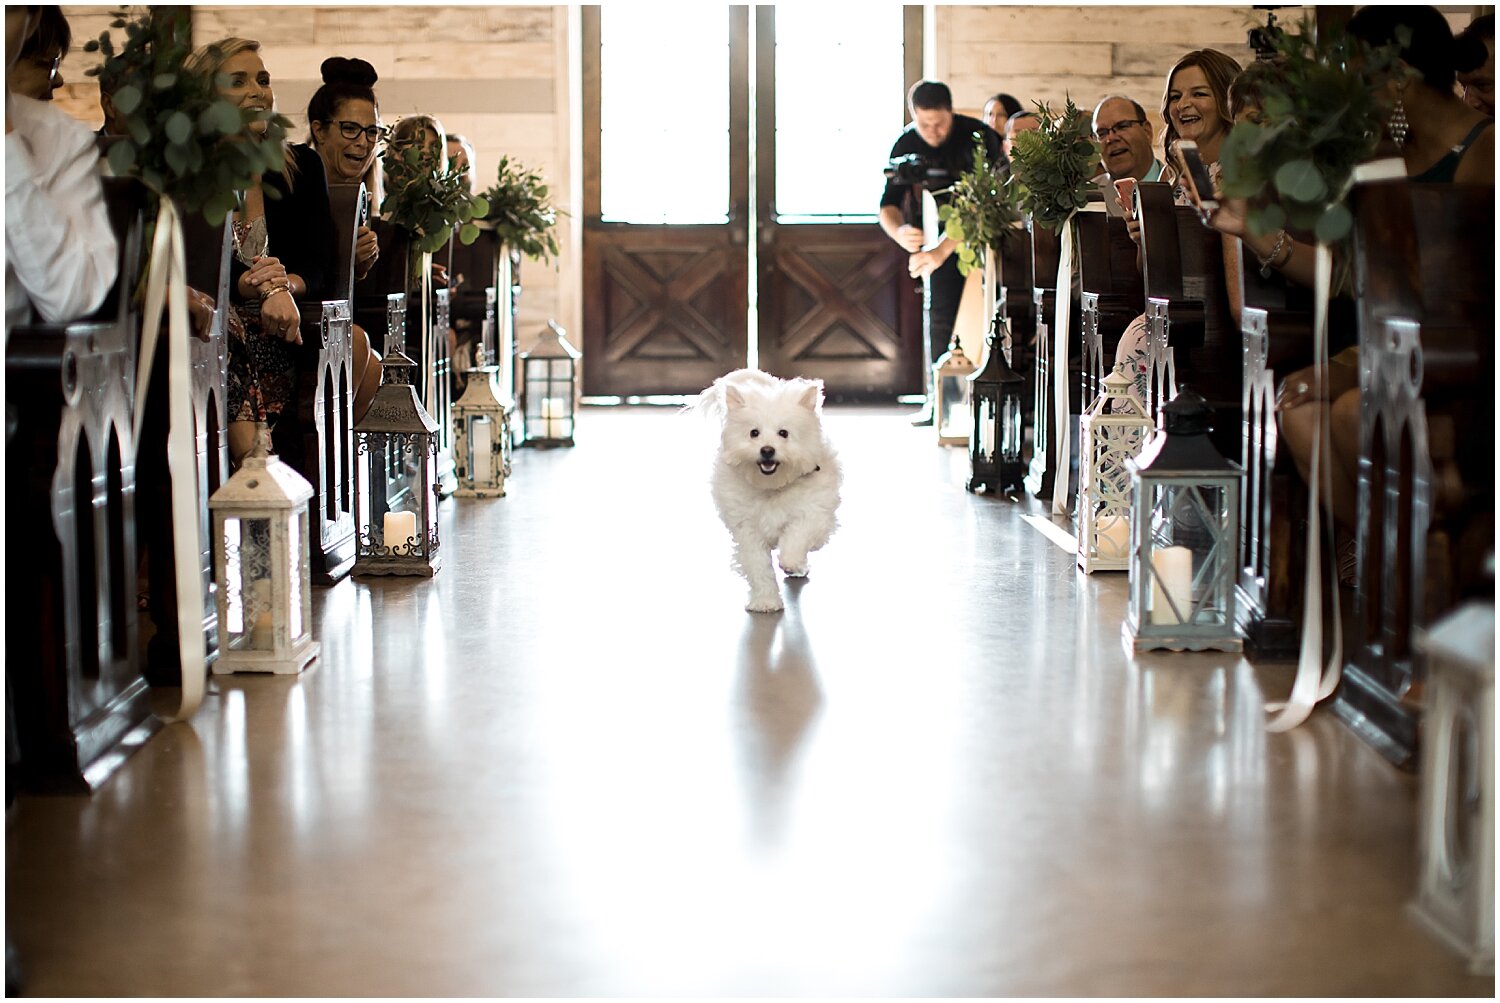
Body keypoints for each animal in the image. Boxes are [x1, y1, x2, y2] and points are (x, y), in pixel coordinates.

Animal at [693, 370, 846, 611]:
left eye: (783, 433)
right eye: (753, 433)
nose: (767, 450)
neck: (772, 486)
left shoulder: (814, 513)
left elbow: (797, 534)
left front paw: (792, 561)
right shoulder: (747, 530)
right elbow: (758, 567)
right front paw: (765, 601)